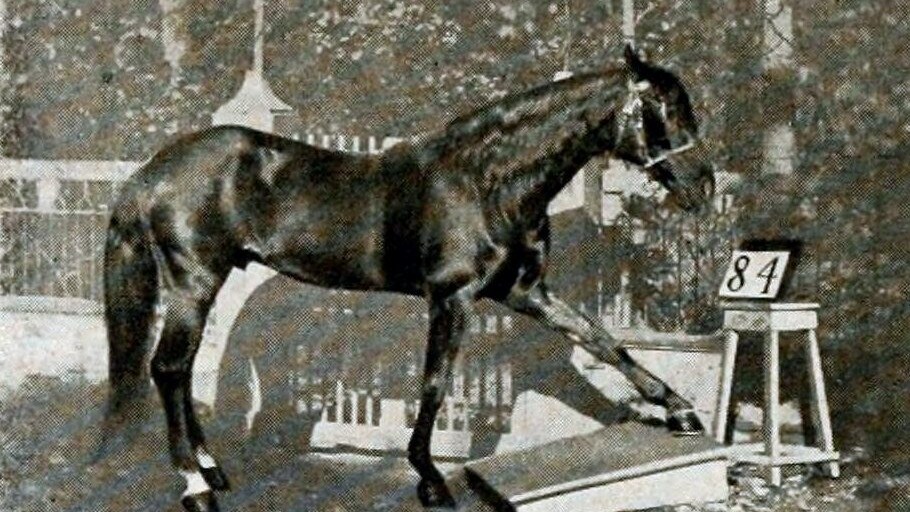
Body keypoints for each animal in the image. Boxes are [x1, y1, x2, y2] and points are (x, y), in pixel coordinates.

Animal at [100, 45, 714, 511]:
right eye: (662, 107)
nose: (702, 185)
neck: (486, 183)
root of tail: (152, 172)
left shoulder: (525, 292)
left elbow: (603, 341)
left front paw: (680, 409)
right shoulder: (452, 297)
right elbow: (435, 383)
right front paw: (431, 478)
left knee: (179, 372)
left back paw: (210, 467)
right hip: (194, 282)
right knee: (169, 368)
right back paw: (195, 484)